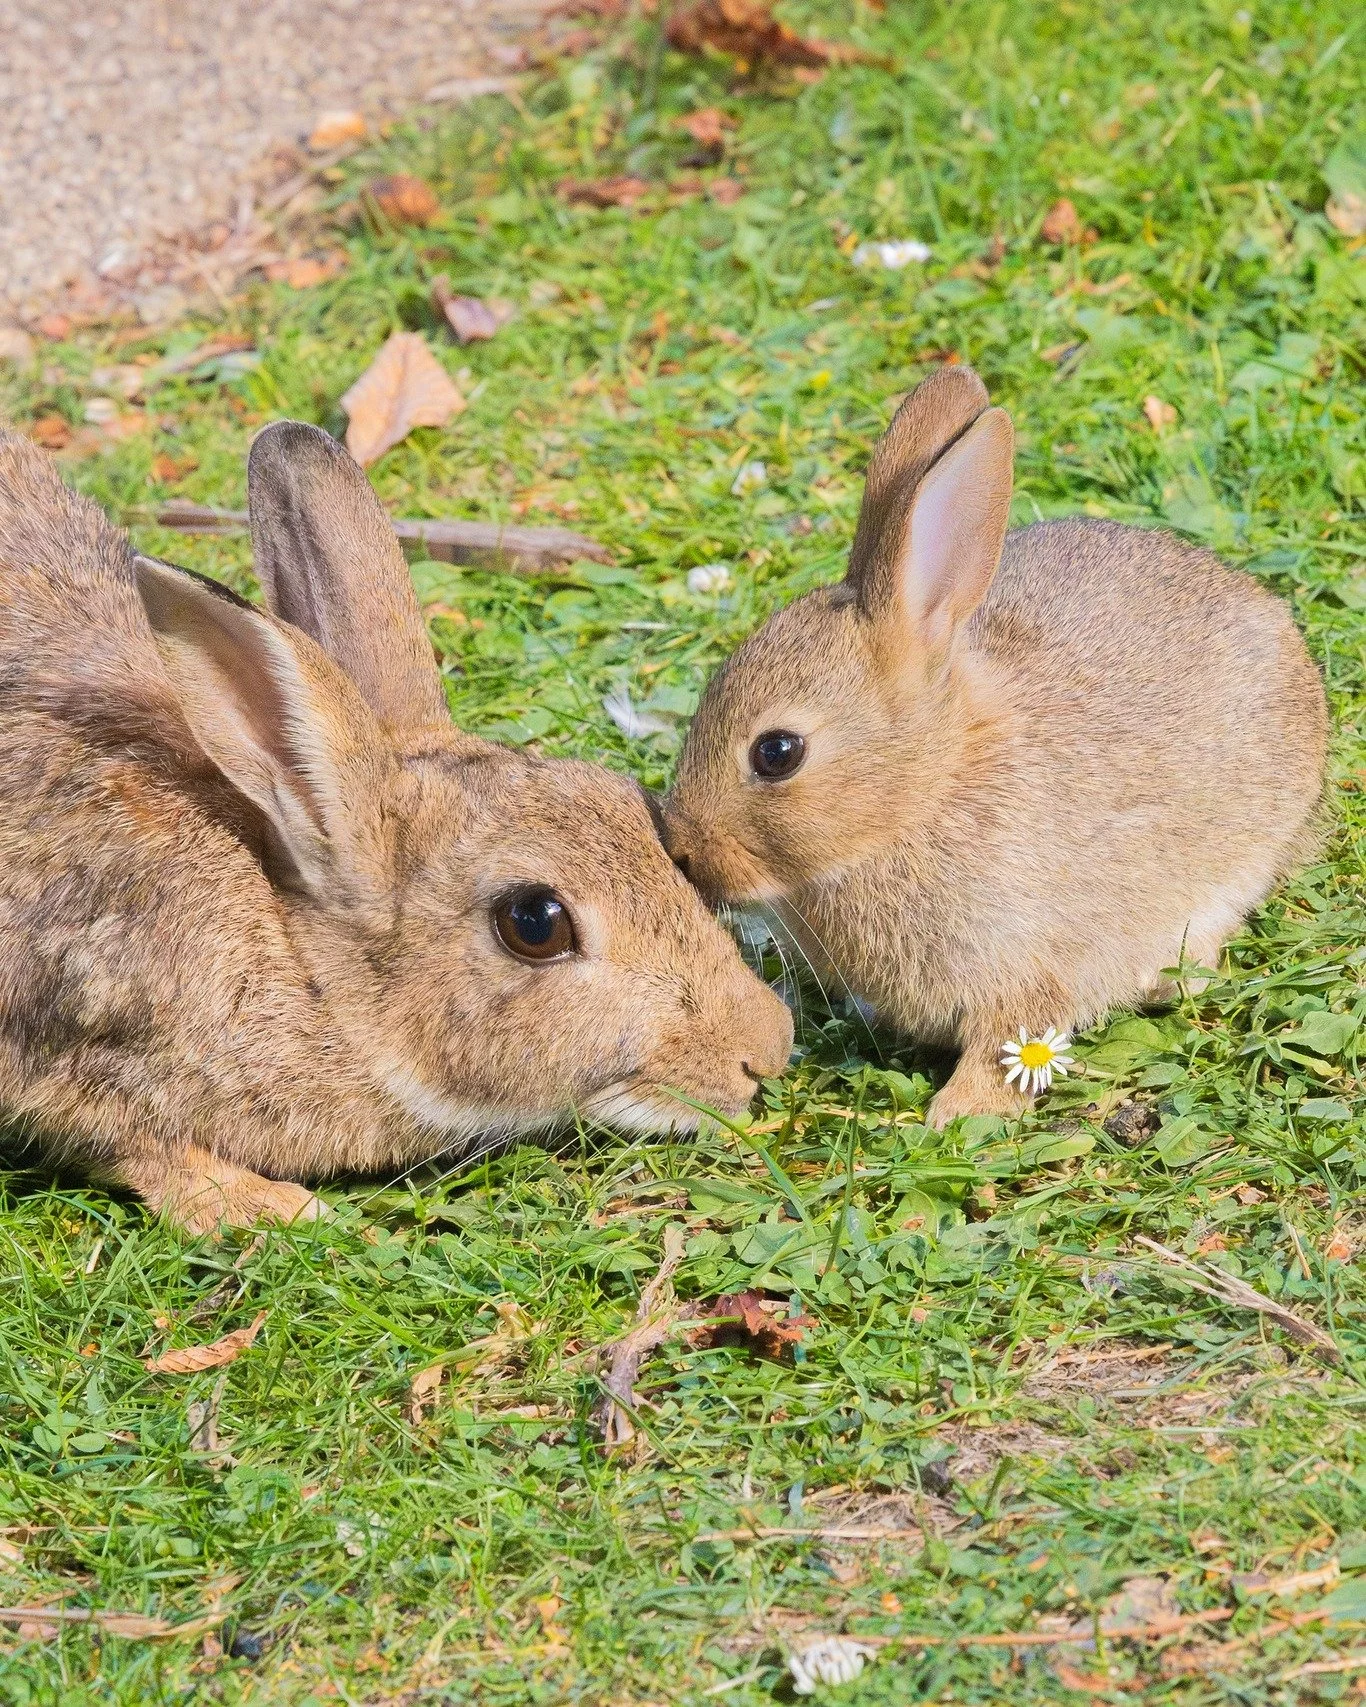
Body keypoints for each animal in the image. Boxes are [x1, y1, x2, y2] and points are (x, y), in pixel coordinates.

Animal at [0, 422, 792, 1233]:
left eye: (627, 801)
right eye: (534, 923)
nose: (766, 1049)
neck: (306, 966)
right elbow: (139, 1143)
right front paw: (274, 1209)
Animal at [663, 365, 1326, 1128]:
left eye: (777, 752)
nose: (681, 850)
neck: (923, 794)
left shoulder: (1021, 966)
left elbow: (1007, 1042)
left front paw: (954, 1115)